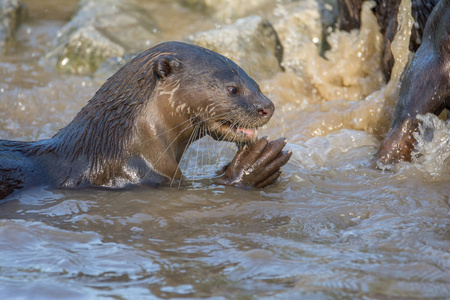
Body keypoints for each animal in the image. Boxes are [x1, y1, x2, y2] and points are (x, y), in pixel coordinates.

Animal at [0, 40, 292, 199]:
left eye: (256, 84)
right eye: (233, 89)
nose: (267, 107)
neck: (116, 147)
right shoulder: (146, 177)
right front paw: (251, 168)